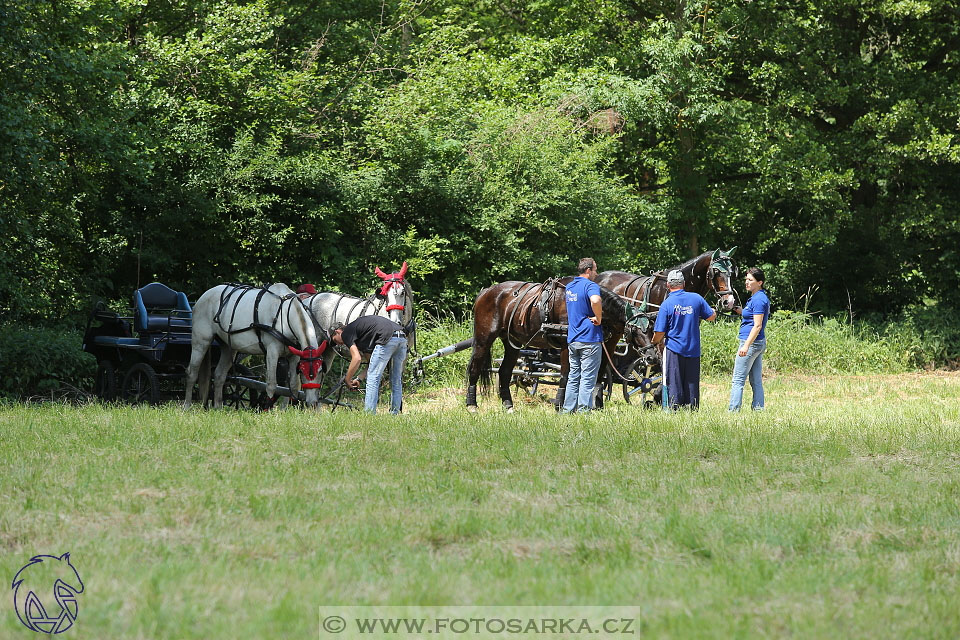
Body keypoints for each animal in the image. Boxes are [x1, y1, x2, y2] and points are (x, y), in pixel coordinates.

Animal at [183, 284, 326, 410]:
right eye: (303, 372)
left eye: (320, 371)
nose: (313, 403)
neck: (284, 314)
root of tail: (204, 296)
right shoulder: (272, 352)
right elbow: (271, 384)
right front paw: (267, 409)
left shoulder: (294, 356)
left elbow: (293, 385)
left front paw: (286, 410)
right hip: (201, 342)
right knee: (192, 373)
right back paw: (187, 406)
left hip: (228, 347)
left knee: (219, 375)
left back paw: (218, 407)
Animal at [466, 278, 644, 412]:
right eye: (635, 330)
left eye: (648, 328)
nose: (649, 356)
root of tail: (486, 291)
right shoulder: (567, 346)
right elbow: (567, 375)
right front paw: (560, 404)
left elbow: (596, 375)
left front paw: (594, 403)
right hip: (483, 339)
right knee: (475, 368)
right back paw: (471, 404)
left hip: (512, 343)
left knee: (504, 372)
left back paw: (508, 405)